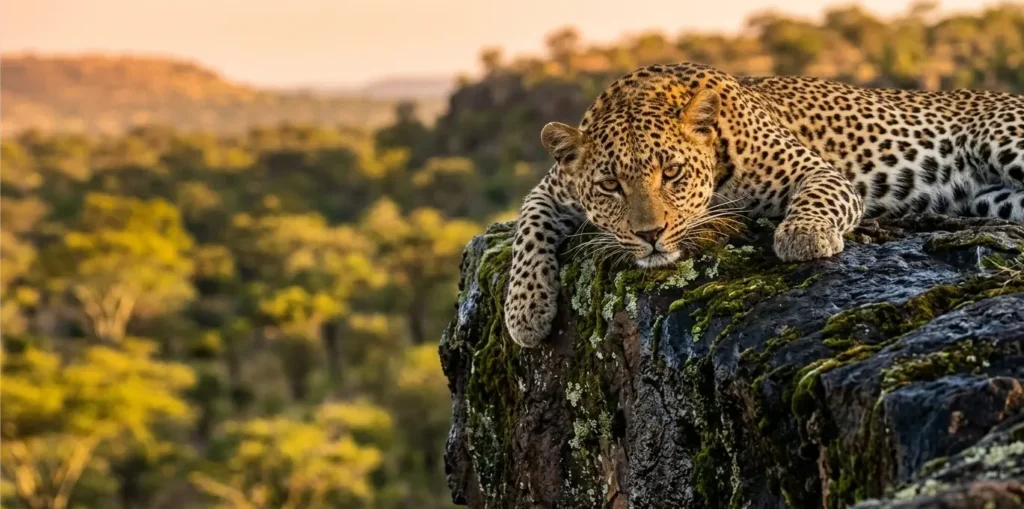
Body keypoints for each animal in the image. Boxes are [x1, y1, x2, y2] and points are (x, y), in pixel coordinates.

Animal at [505, 62, 1024, 348]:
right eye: (610, 185)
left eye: (671, 173)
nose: (650, 235)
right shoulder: (549, 189)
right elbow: (526, 230)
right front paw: (526, 311)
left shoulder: (819, 171)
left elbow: (815, 198)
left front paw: (802, 236)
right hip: (995, 200)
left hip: (1002, 139)